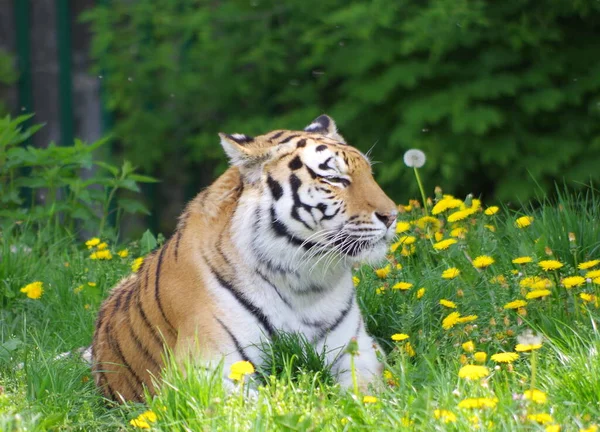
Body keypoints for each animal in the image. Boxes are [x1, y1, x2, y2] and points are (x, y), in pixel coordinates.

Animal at [91, 115, 396, 402]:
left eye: (370, 173)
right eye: (334, 179)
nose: (392, 216)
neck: (304, 283)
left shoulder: (358, 351)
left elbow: (365, 391)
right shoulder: (205, 370)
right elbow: (261, 404)